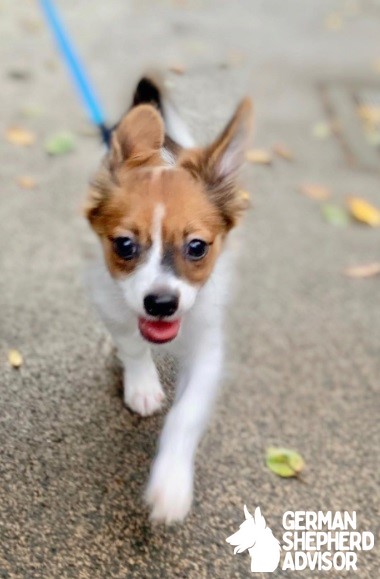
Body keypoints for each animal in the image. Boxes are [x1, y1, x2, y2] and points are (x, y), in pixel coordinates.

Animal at [85, 75, 252, 524]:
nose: (161, 304)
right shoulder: (111, 302)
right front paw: (141, 384)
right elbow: (131, 343)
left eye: (197, 247)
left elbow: (185, 415)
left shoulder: (209, 349)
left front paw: (171, 483)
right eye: (124, 245)